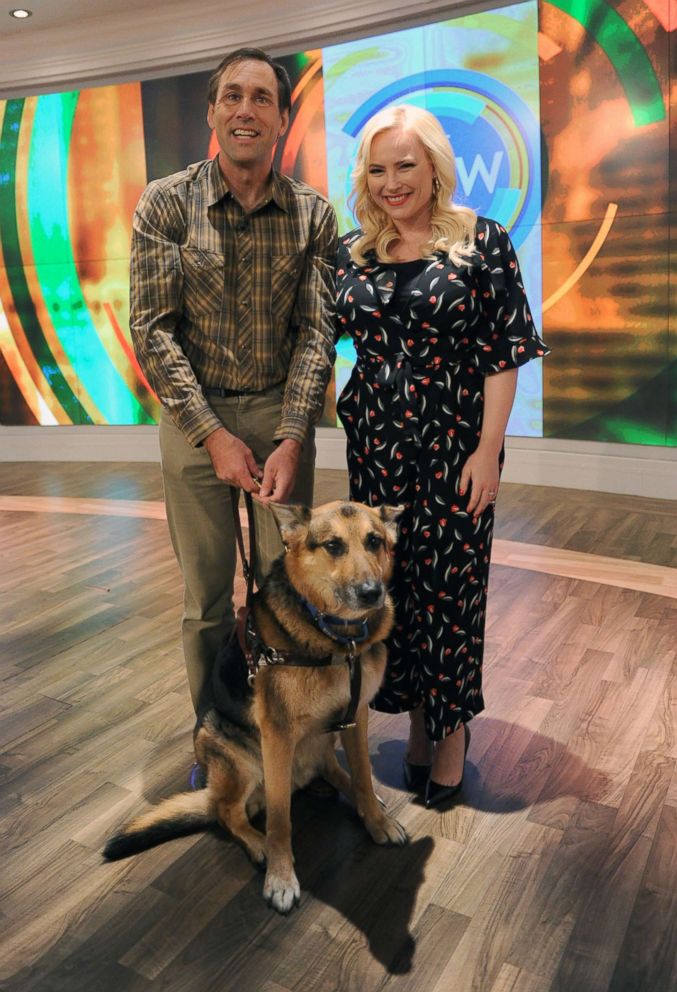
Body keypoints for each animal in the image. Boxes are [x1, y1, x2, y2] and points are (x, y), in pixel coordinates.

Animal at [103, 504, 404, 916]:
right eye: (333, 546)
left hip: (322, 739)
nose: (373, 593)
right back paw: (257, 843)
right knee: (226, 811)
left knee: (330, 768)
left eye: (374, 541)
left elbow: (363, 776)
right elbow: (280, 820)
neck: (337, 639)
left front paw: (376, 820)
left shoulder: (356, 717)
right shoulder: (277, 735)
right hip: (229, 748)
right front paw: (281, 876)